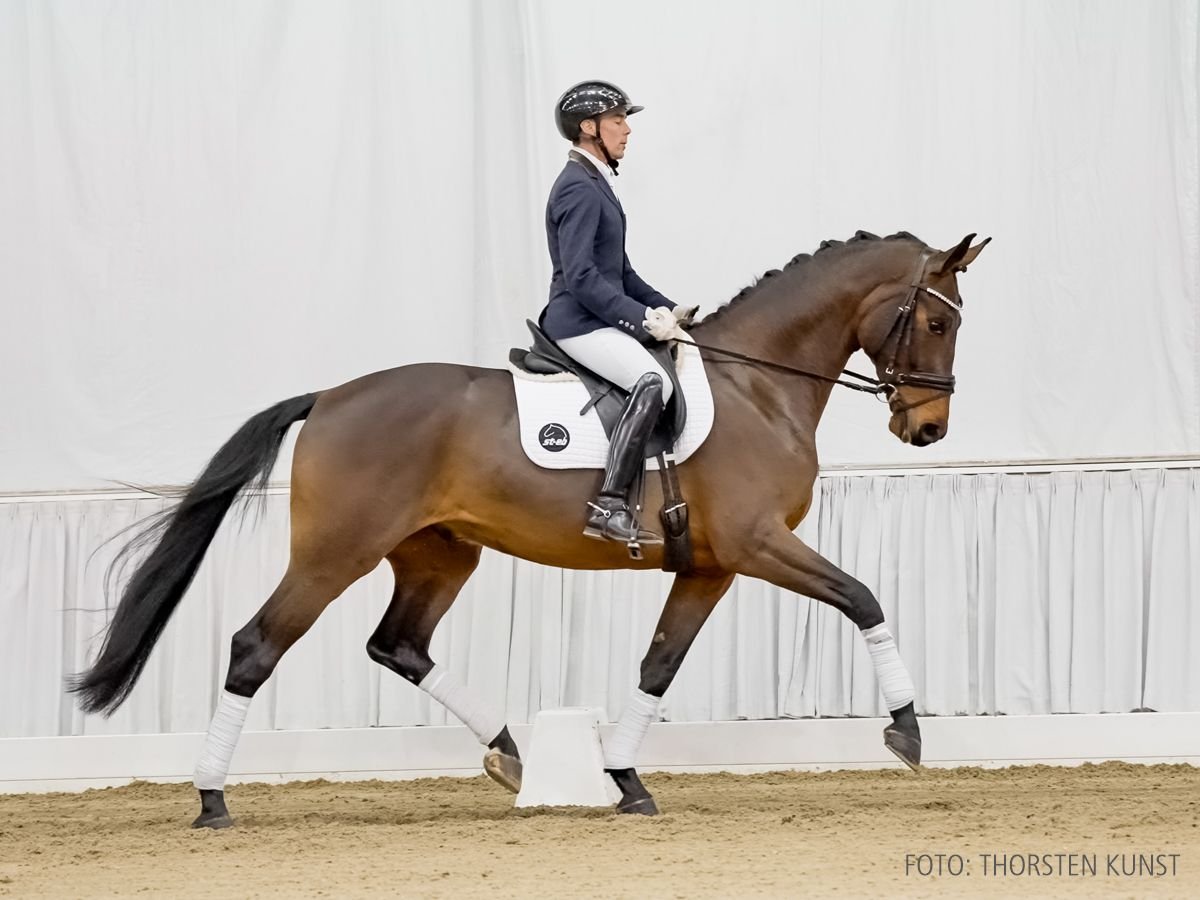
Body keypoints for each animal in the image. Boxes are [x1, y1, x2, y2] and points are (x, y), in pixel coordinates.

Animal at [68, 229, 984, 830]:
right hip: (337, 553)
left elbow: (658, 666)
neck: (757, 387)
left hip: (440, 554)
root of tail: (327, 397)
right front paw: (906, 730)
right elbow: (861, 597)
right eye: (939, 323)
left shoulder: (710, 565)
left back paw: (509, 753)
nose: (928, 429)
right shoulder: (759, 545)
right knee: (257, 646)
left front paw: (624, 779)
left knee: (399, 644)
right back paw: (211, 799)